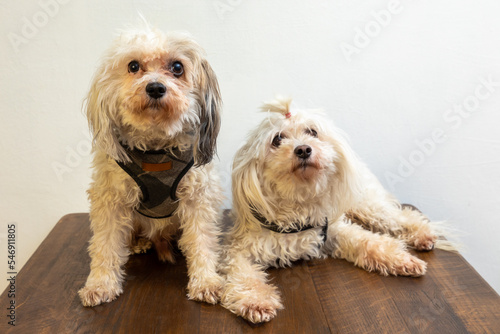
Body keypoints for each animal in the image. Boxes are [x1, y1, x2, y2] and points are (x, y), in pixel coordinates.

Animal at [79, 25, 224, 308]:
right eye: (133, 66)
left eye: (177, 67)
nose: (155, 87)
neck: (156, 148)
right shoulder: (110, 201)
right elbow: (105, 245)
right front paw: (100, 284)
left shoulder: (198, 199)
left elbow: (201, 241)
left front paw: (205, 281)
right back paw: (138, 243)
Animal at [221, 97, 452, 324]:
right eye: (277, 140)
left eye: (312, 132)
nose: (303, 149)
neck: (298, 204)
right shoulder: (241, 248)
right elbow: (243, 274)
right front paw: (255, 301)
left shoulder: (332, 229)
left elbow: (370, 242)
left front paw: (404, 260)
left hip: (366, 205)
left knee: (402, 216)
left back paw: (423, 235)